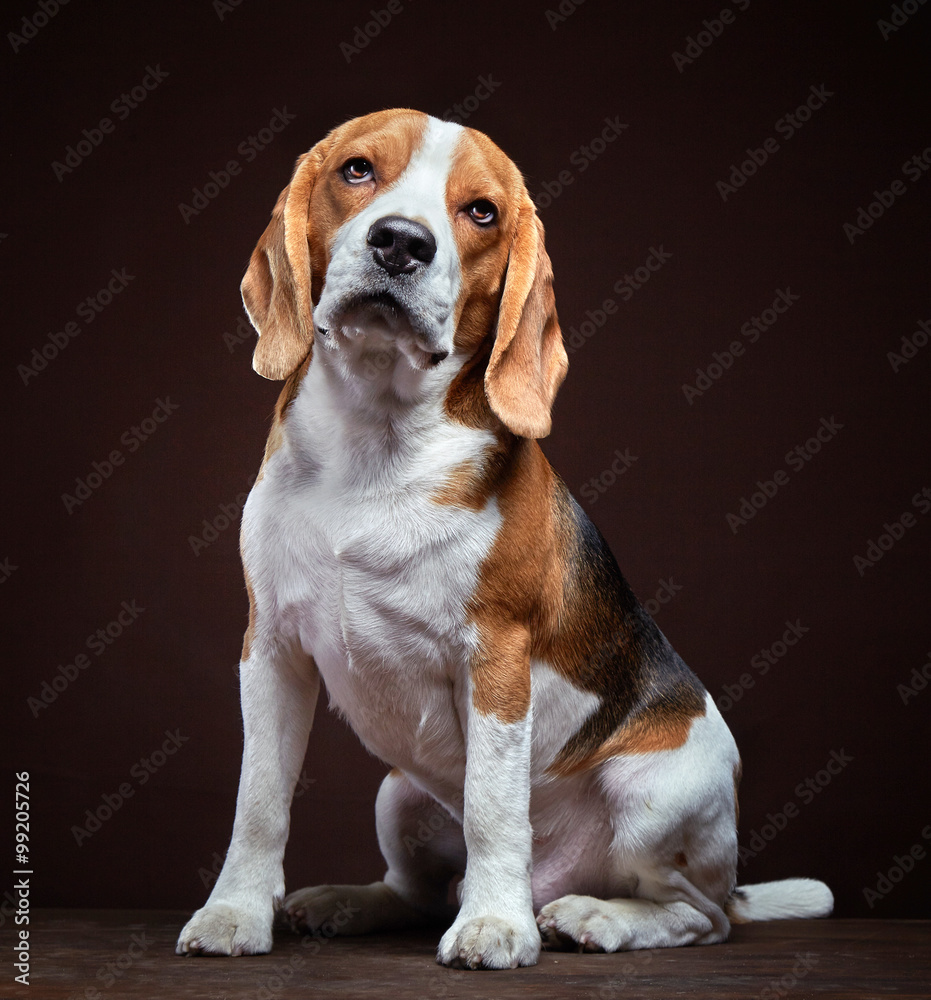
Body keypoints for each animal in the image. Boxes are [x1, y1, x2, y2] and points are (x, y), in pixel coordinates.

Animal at [178, 107, 832, 968]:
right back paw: (351, 903)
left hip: (654, 792)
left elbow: (494, 807)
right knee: (420, 893)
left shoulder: (494, 659)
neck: (374, 443)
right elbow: (258, 800)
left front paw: (494, 925)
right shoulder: (271, 650)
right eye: (356, 170)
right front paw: (234, 914)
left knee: (698, 916)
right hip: (397, 791)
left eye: (481, 212)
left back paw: (590, 916)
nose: (400, 242)